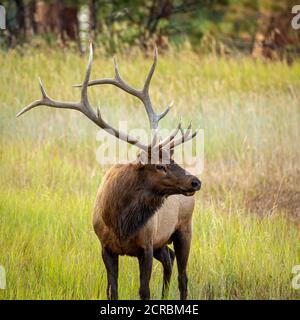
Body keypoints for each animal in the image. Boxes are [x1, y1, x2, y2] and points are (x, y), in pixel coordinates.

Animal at [17, 43, 202, 300]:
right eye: (160, 165)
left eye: (172, 158)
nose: (195, 181)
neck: (120, 223)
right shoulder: (106, 247)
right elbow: (112, 290)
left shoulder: (146, 245)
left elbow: (144, 291)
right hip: (163, 242)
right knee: (169, 259)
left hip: (184, 227)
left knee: (183, 277)